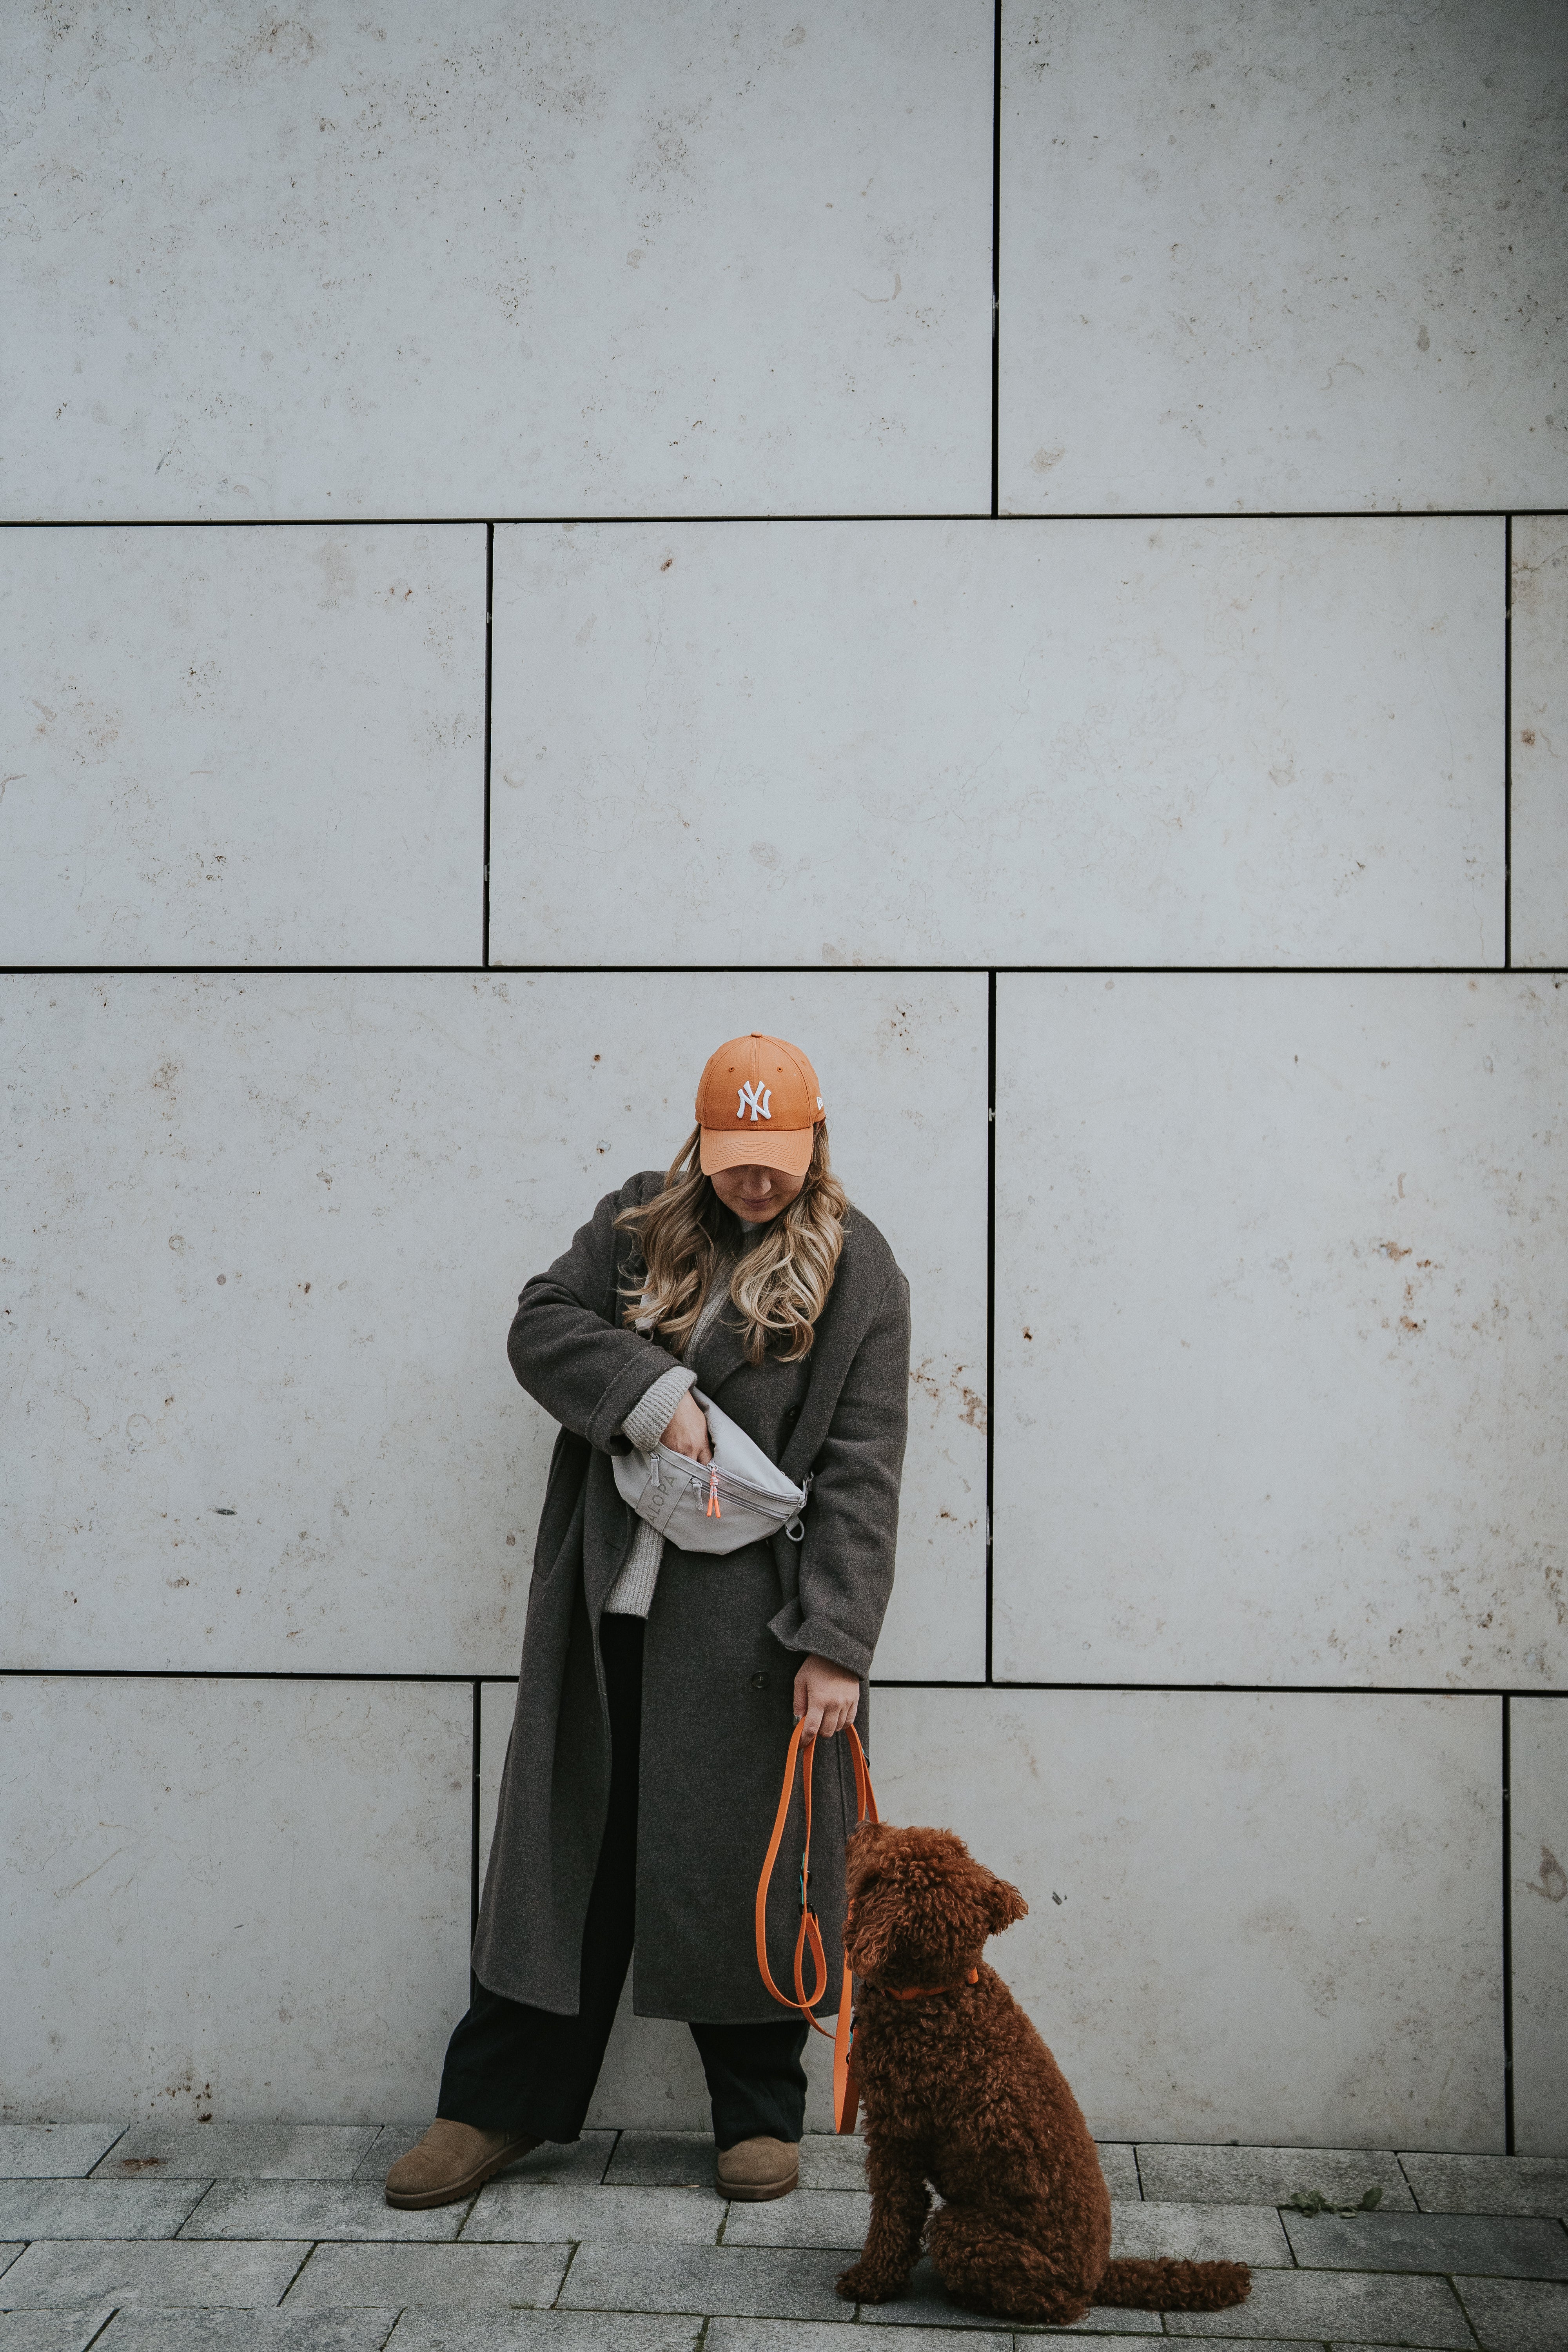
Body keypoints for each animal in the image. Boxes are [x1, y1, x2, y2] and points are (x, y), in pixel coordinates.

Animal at [832, 1816, 1250, 2314]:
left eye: (877, 1869)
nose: (864, 1823)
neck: (938, 1994)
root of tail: (1097, 2276)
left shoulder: (896, 2134)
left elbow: (894, 2215)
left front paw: (872, 2280)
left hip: (964, 2234)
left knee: (1054, 2304)